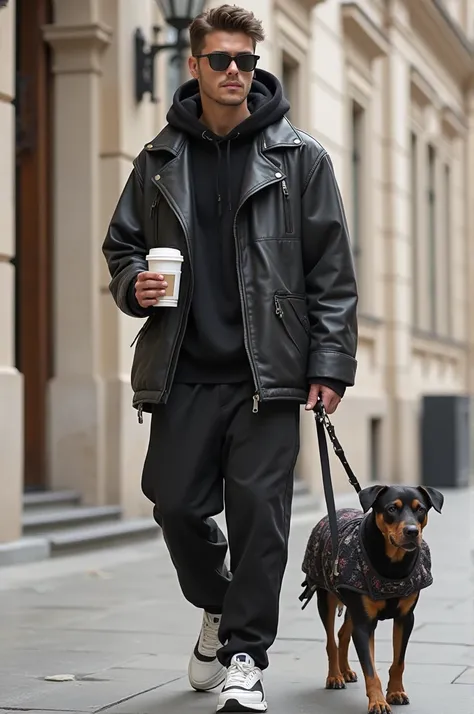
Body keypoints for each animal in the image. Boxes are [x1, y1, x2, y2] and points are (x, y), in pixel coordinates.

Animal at [302, 484, 442, 712]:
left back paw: (346, 671)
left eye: (420, 509)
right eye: (392, 509)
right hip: (326, 596)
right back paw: (335, 676)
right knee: (331, 639)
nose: (412, 531)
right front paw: (378, 702)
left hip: (353, 605)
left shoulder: (405, 617)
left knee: (343, 633)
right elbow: (370, 668)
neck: (393, 564)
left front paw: (396, 692)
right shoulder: (365, 622)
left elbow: (399, 662)